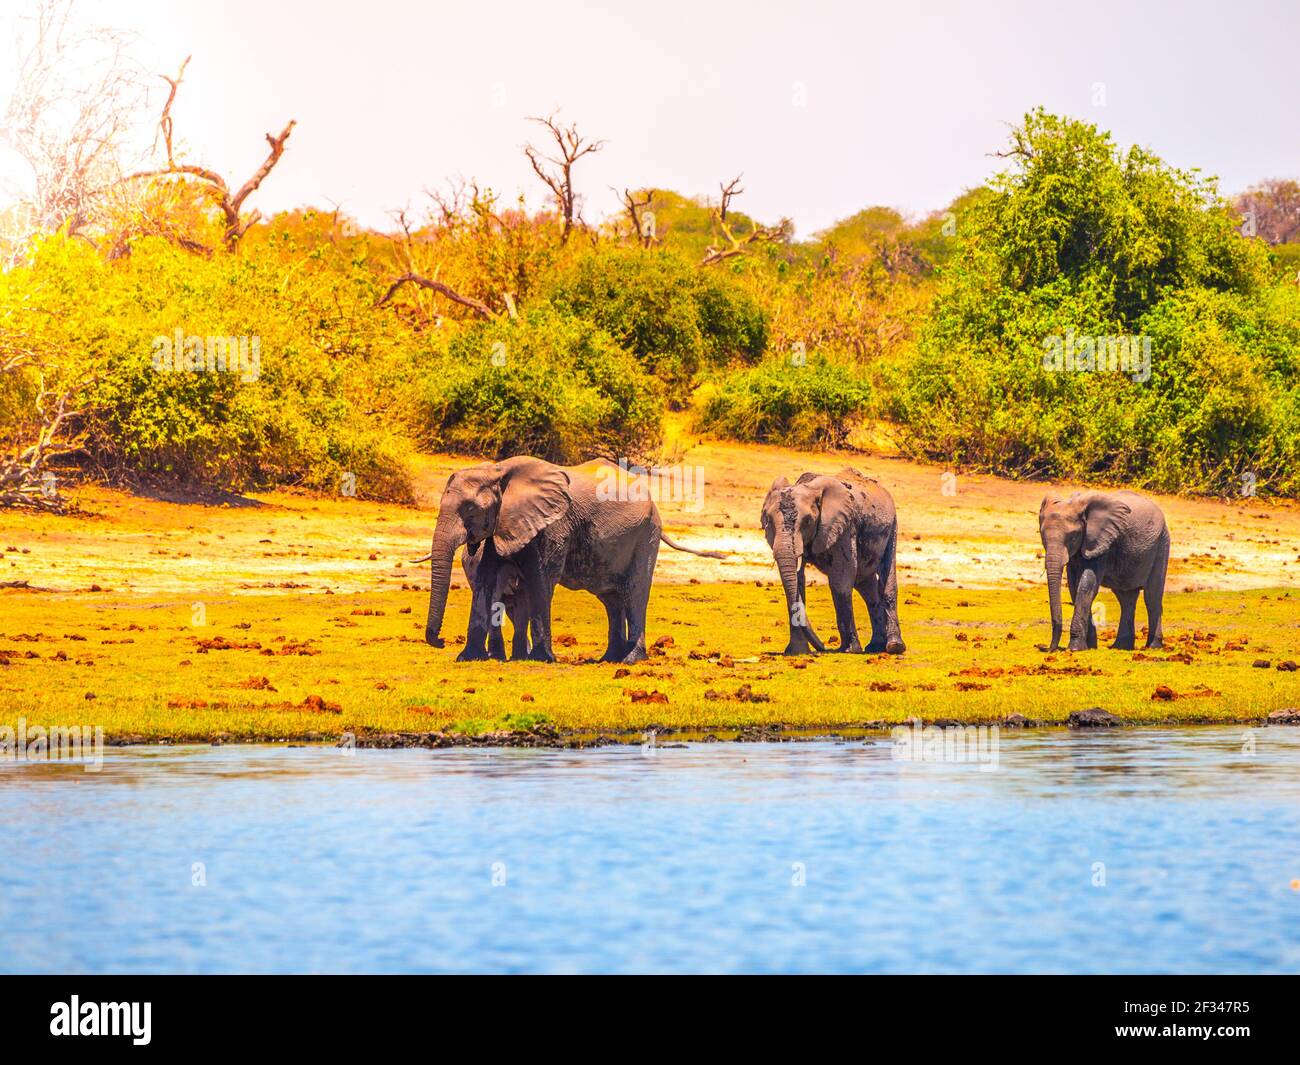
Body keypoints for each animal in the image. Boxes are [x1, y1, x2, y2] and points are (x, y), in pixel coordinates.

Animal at [423, 455, 722, 663]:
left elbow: (541, 579)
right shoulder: (504, 522)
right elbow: (487, 579)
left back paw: (631, 660)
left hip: (646, 535)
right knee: (612, 599)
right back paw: (609, 659)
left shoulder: (554, 524)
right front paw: (467, 658)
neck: (498, 471)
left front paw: (542, 659)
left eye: (469, 509)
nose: (439, 641)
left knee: (635, 593)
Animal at [759, 468, 904, 652]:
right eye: (768, 521)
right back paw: (875, 646)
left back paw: (894, 647)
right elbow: (796, 583)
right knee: (866, 586)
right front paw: (796, 653)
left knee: (887, 580)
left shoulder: (844, 527)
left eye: (808, 521)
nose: (823, 646)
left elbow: (841, 581)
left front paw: (850, 650)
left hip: (892, 526)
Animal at [1040, 488, 1175, 652]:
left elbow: (1086, 584)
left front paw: (1076, 649)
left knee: (1152, 596)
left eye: (1073, 537)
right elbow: (1074, 586)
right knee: (1126, 599)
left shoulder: (1101, 542)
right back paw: (1121, 647)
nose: (1047, 648)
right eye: (1042, 536)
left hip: (1162, 544)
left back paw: (1154, 646)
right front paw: (1090, 646)